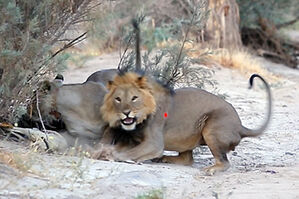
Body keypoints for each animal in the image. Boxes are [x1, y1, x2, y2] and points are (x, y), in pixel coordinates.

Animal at [100, 72, 272, 176]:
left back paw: (210, 169)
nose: (126, 112)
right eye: (118, 99)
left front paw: (112, 156)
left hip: (211, 128)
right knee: (187, 159)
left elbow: (131, 153)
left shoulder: (154, 144)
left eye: (134, 98)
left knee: (224, 162)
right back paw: (164, 159)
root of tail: (240, 126)